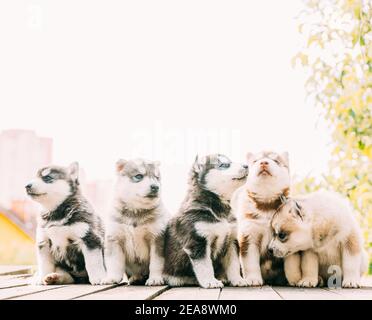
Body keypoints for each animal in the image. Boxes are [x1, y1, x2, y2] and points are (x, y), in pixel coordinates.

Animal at [162, 154, 247, 288]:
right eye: (224, 165)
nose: (247, 165)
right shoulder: (197, 242)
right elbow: (206, 266)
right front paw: (210, 281)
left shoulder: (231, 241)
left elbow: (234, 264)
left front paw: (238, 279)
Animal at [232, 151, 290, 286]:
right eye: (255, 161)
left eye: (276, 161)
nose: (263, 162)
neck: (266, 205)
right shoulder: (249, 236)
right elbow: (250, 263)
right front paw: (253, 278)